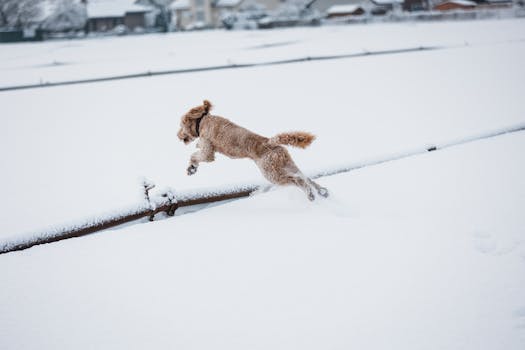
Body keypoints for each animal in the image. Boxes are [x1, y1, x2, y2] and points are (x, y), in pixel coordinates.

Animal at [179, 100, 328, 201]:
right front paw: (192, 167)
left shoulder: (208, 151)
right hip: (286, 165)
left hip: (272, 173)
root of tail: (271, 142)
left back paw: (310, 194)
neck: (202, 121)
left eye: (181, 125)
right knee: (306, 177)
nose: (178, 135)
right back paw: (322, 192)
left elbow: (195, 155)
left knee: (299, 180)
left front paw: (191, 168)